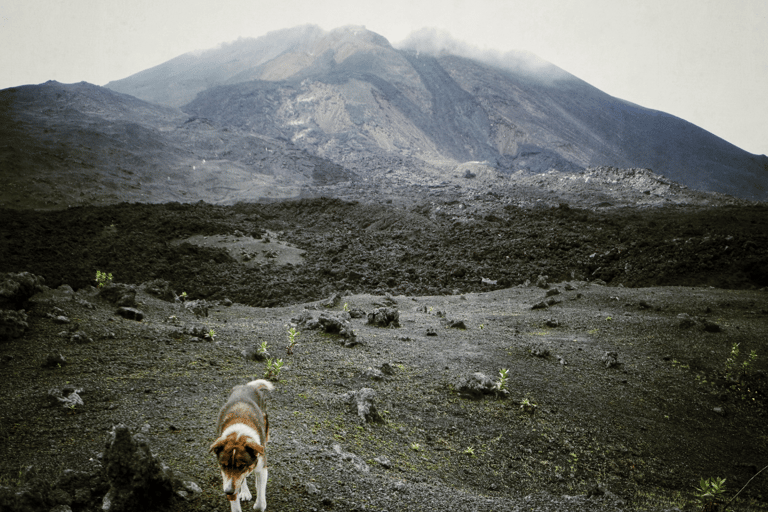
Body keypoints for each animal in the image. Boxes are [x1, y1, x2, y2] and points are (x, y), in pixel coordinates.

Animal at [210, 378, 276, 510]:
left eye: (241, 466)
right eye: (223, 465)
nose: (228, 491)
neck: (238, 435)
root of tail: (247, 386)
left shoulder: (261, 466)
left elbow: (260, 503)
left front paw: (259, 503)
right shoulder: (227, 478)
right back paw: (245, 491)